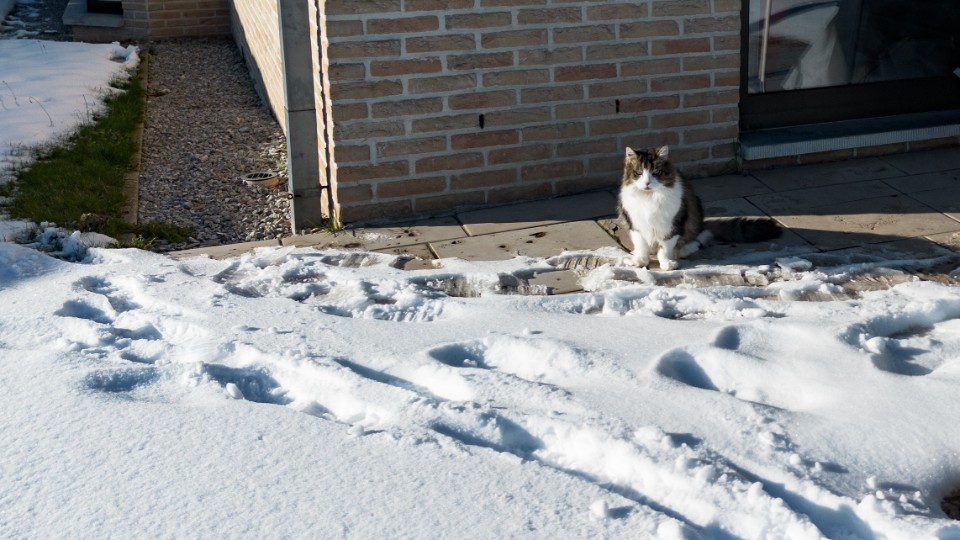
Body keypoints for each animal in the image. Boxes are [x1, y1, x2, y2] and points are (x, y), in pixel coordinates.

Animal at [617, 145, 781, 270]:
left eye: (655, 173)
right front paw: (639, 261)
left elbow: (665, 249)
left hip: (694, 216)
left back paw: (684, 249)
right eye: (638, 173)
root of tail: (702, 223)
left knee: (701, 236)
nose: (647, 183)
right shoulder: (636, 226)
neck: (649, 198)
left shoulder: (673, 225)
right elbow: (641, 247)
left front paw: (668, 263)